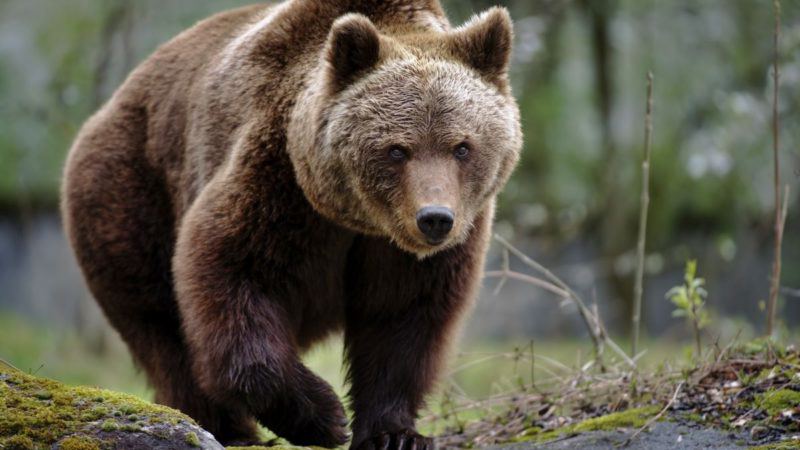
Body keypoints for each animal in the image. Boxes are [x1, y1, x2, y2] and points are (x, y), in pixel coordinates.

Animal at [61, 1, 522, 448]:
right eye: (396, 149)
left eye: (462, 147)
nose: (435, 219)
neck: (356, 219)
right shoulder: (277, 183)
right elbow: (233, 274)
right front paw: (324, 417)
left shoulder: (412, 250)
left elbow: (402, 319)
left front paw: (394, 434)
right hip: (130, 191)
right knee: (160, 323)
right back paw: (226, 428)